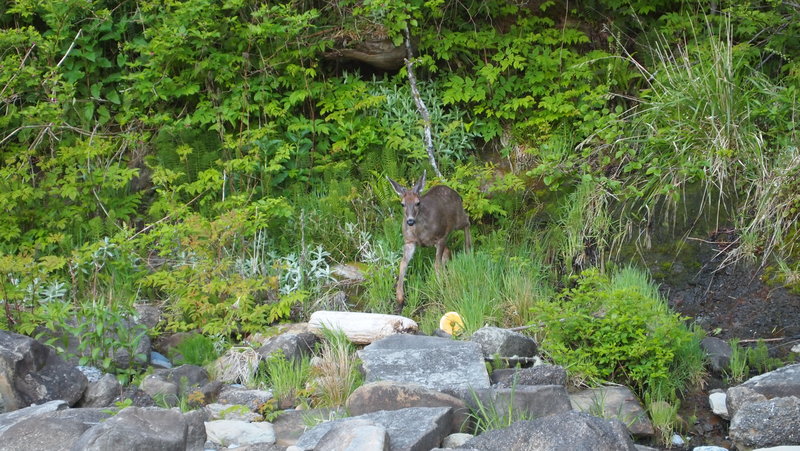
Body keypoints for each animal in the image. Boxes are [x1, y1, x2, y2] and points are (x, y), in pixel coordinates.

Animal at [387, 171, 472, 307]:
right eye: (402, 204)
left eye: (418, 202)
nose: (410, 221)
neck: (420, 233)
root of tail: (456, 193)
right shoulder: (409, 241)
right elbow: (403, 263)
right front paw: (400, 297)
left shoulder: (442, 236)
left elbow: (436, 264)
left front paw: (441, 286)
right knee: (448, 251)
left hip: (457, 220)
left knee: (467, 221)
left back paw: (468, 250)